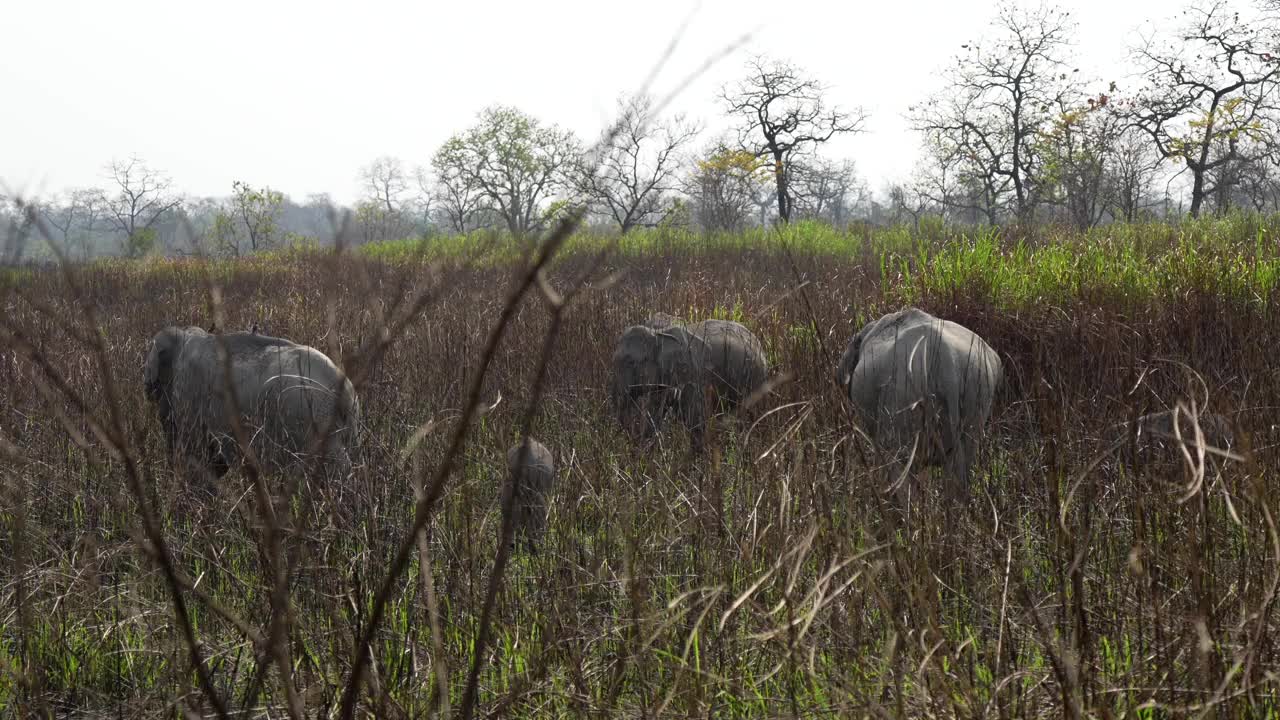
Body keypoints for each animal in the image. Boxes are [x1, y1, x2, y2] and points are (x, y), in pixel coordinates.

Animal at [609, 312, 768, 448]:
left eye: (631, 362)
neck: (657, 333)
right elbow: (655, 411)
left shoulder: (693, 372)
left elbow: (695, 418)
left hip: (755, 377)